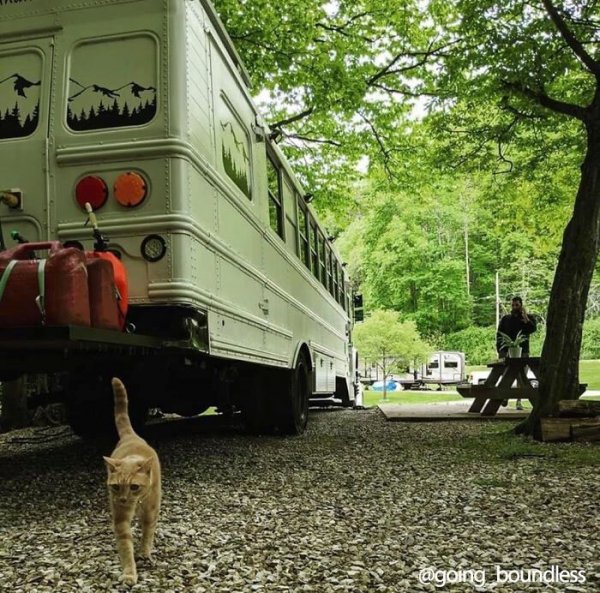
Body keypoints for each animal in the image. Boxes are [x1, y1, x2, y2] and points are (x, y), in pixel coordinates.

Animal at [103, 376, 161, 584]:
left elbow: (147, 533)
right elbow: (126, 547)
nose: (122, 499)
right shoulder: (120, 519)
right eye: (115, 486)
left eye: (134, 486)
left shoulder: (151, 512)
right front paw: (129, 572)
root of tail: (131, 436)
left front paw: (144, 552)